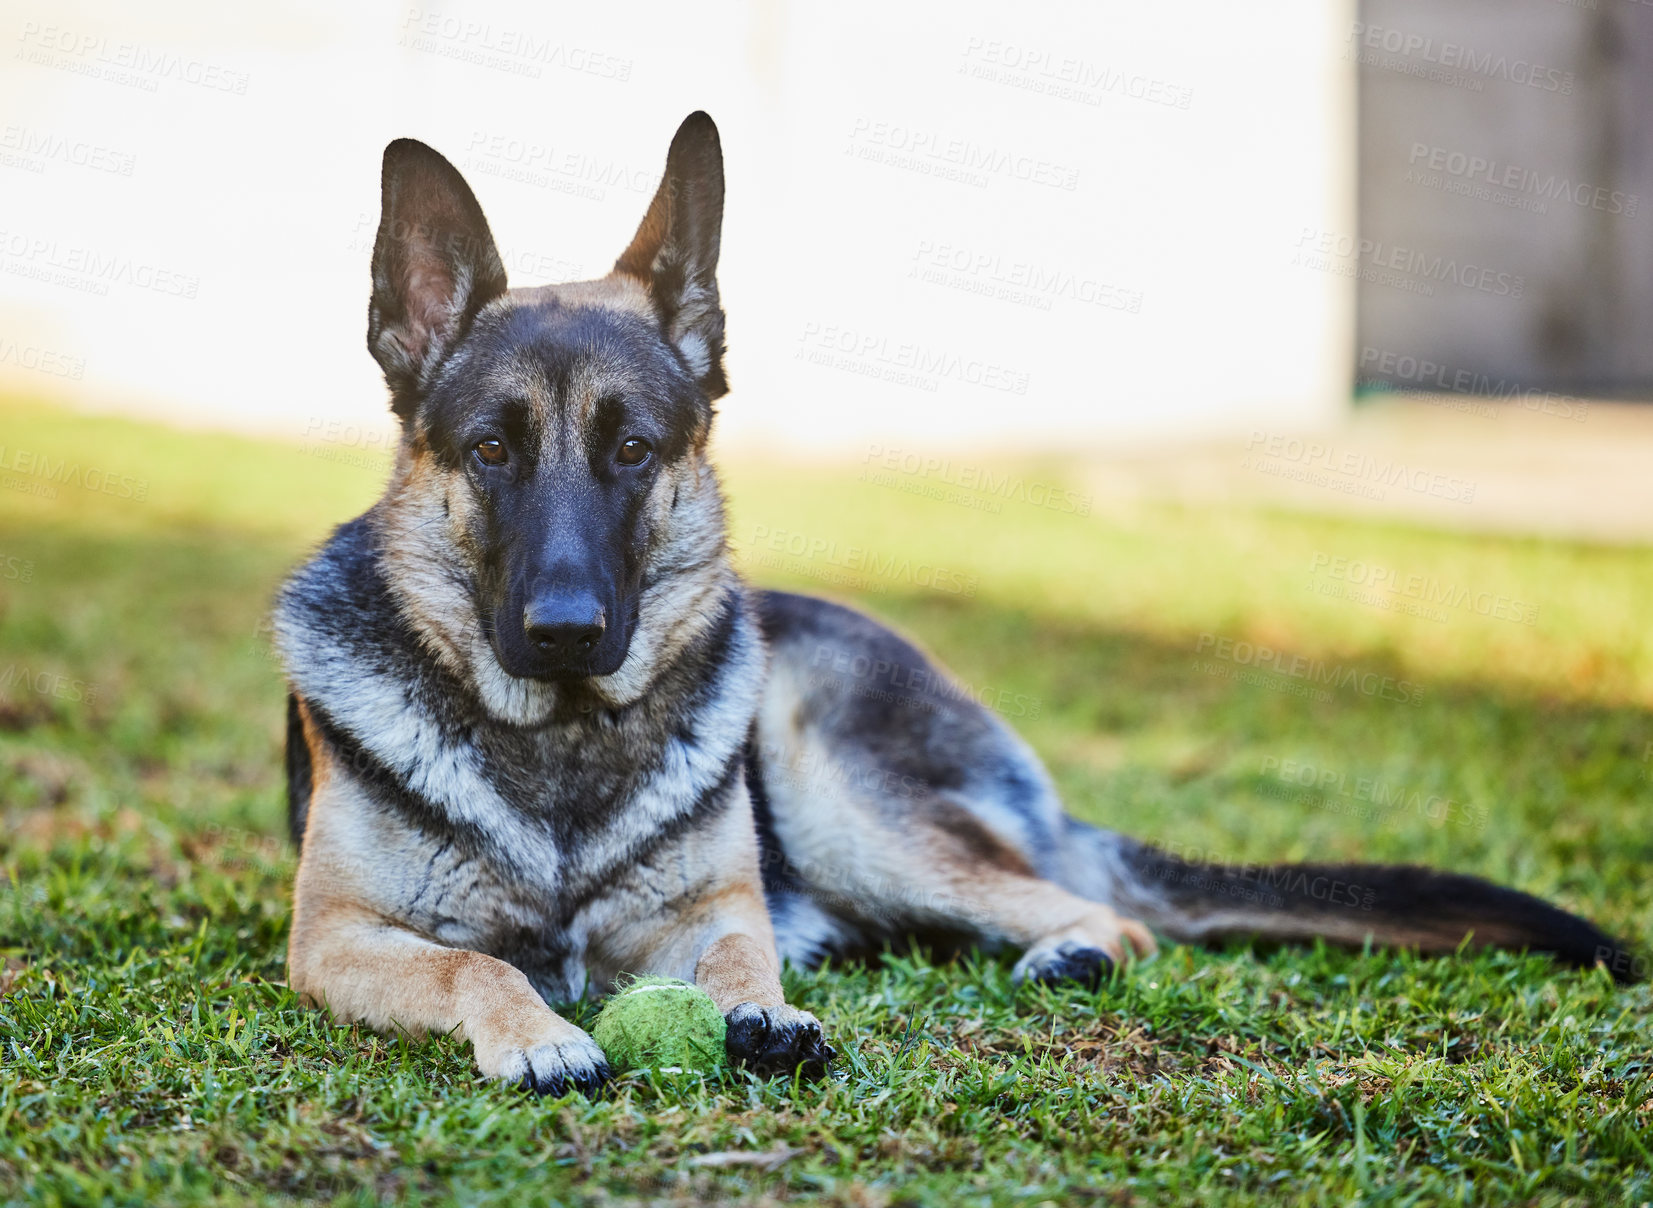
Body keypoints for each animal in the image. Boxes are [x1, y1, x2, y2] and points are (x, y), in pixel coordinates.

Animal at [277, 110, 1633, 1097]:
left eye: (632, 448)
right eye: (491, 450)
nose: (565, 629)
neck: (559, 745)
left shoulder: (715, 908)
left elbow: (737, 944)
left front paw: (760, 1009)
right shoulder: (333, 938)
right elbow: (473, 967)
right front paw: (537, 1027)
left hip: (843, 798)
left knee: (1104, 913)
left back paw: (1069, 944)